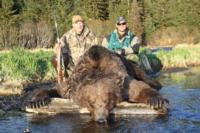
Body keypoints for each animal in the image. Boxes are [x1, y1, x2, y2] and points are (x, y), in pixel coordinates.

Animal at [27, 45, 169, 123]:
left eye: (108, 101)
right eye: (91, 103)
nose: (101, 120)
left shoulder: (123, 83)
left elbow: (139, 88)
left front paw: (157, 100)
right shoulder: (72, 84)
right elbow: (56, 89)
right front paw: (36, 101)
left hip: (133, 66)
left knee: (146, 77)